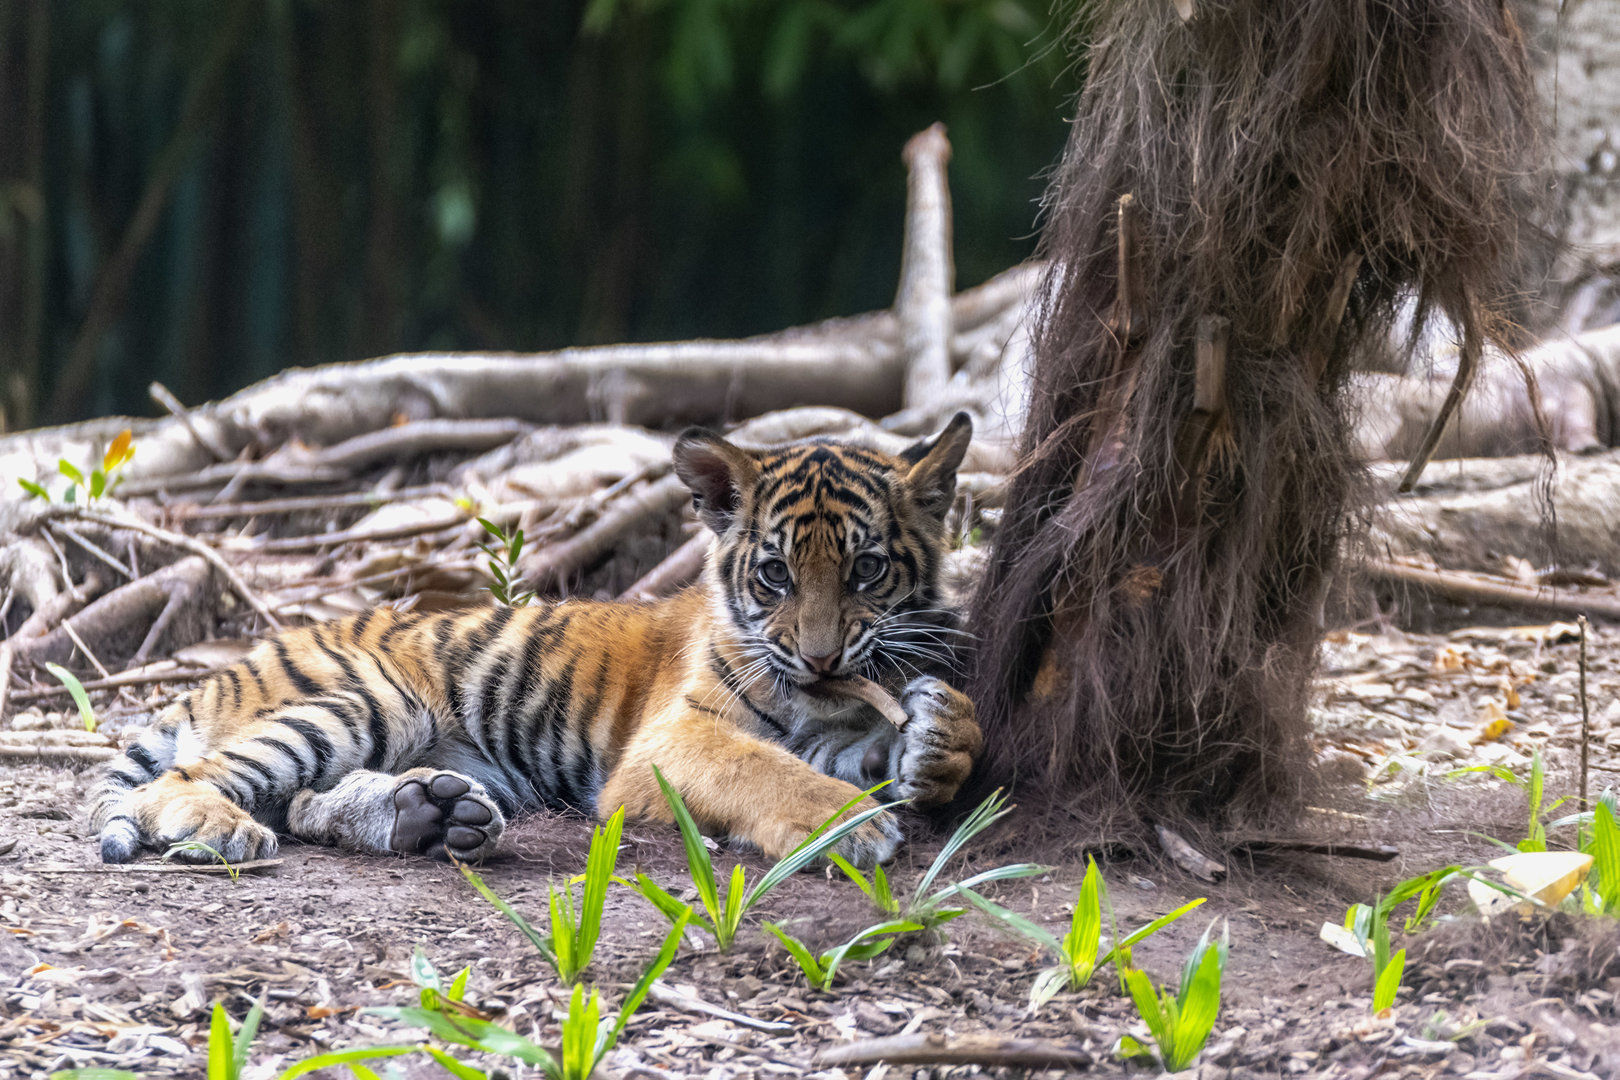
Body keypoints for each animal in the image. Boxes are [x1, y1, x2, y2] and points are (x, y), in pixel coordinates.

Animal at [89, 413, 983, 869]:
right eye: (774, 575)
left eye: (866, 569)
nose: (823, 656)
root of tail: (230, 668)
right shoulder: (669, 741)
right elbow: (762, 768)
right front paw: (851, 827)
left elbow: (868, 748)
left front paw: (939, 741)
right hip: (372, 699)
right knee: (182, 781)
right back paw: (220, 828)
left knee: (303, 800)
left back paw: (427, 816)